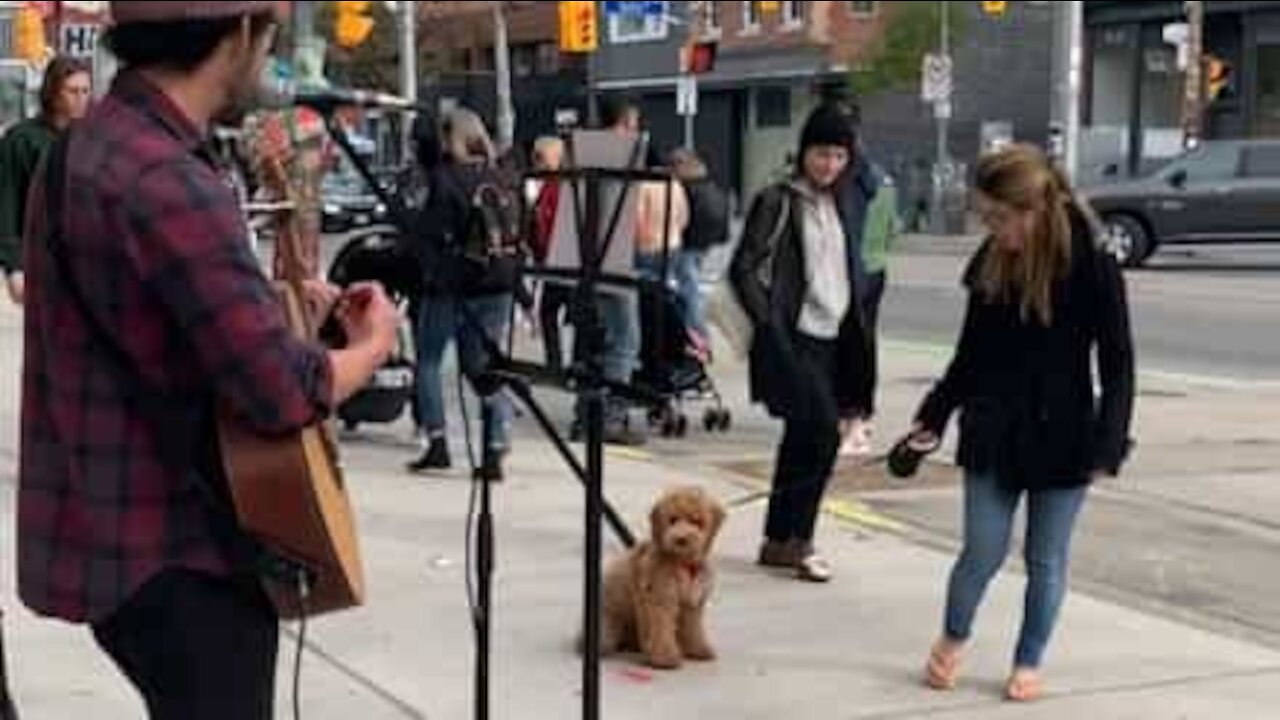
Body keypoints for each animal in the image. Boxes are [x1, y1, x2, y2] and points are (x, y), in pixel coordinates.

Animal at [596, 481, 721, 666]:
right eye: (672, 520)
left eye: (696, 521)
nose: (681, 539)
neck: (682, 562)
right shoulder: (660, 598)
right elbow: (661, 629)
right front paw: (665, 658)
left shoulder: (692, 604)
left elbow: (693, 629)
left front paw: (697, 649)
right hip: (608, 622)